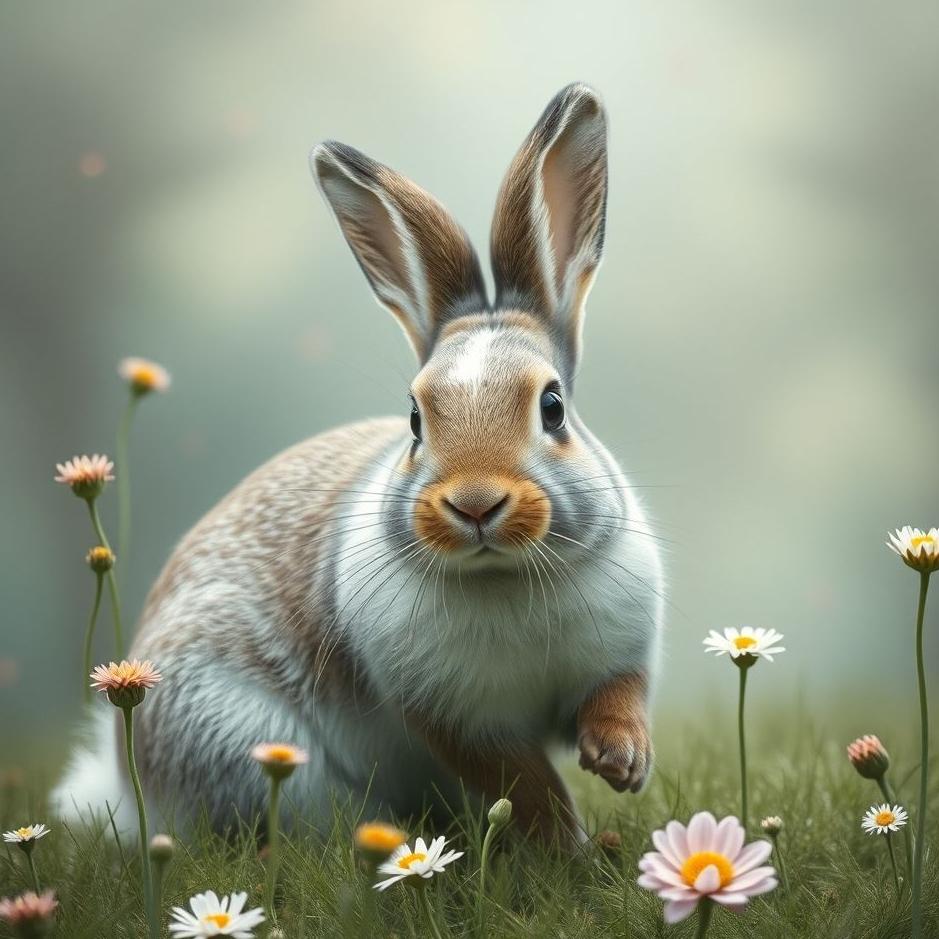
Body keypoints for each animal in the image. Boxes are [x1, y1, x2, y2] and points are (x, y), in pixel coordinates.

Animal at [56, 83, 664, 844]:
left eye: (552, 407)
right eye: (414, 420)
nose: (474, 503)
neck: (504, 573)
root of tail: (130, 785)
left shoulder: (621, 655)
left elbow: (617, 698)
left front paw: (621, 763)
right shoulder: (453, 721)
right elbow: (524, 782)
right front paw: (567, 847)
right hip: (251, 747)